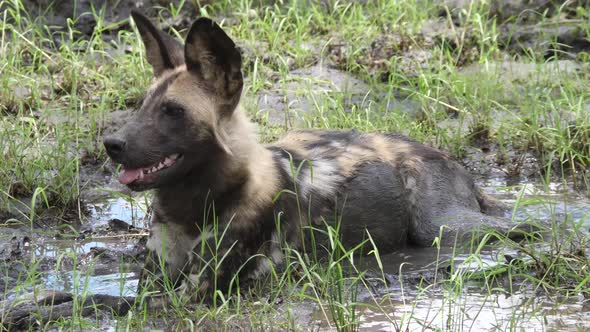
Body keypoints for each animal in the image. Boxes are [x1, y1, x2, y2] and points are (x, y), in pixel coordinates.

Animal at [104, 11, 524, 304]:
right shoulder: (154, 278)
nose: (112, 143)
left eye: (173, 111)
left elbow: (106, 305)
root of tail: (448, 159)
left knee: (520, 226)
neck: (193, 203)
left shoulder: (195, 290)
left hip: (443, 228)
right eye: (143, 105)